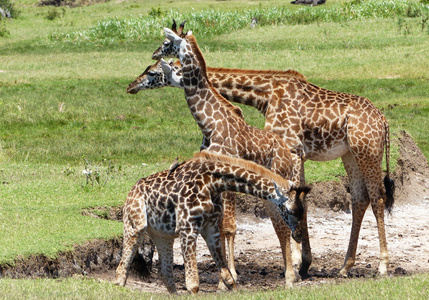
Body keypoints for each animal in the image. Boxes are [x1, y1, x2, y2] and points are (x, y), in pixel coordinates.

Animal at [113, 151, 310, 294]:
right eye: (290, 211)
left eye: (303, 210)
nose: (299, 234)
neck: (212, 183)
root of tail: (130, 192)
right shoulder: (187, 228)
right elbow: (193, 284)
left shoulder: (211, 229)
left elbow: (228, 277)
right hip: (135, 227)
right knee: (121, 271)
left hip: (162, 235)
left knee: (166, 274)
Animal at [149, 27, 306, 288]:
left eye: (166, 43)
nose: (153, 55)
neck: (211, 124)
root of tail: (290, 154)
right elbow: (219, 226)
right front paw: (224, 278)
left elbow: (227, 226)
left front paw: (227, 278)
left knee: (282, 227)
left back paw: (290, 276)